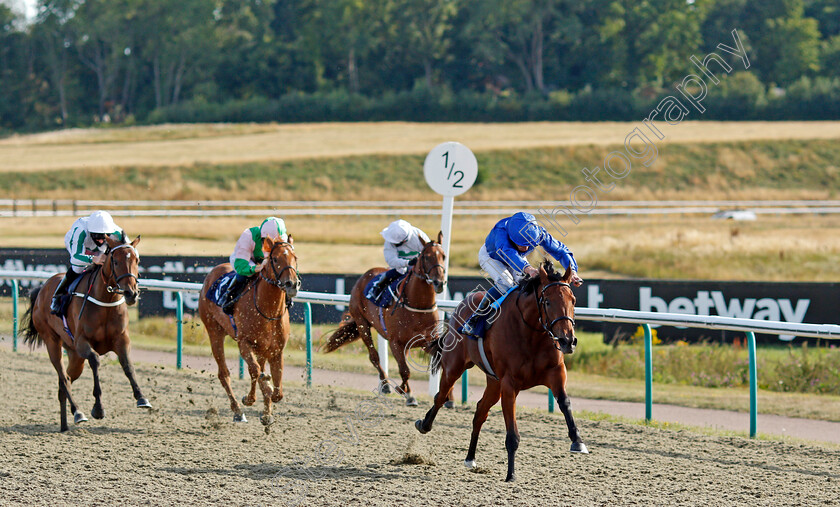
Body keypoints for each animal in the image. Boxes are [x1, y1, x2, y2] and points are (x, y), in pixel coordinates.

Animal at [324, 232, 450, 406]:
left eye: (443, 256)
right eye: (426, 257)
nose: (439, 283)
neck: (418, 305)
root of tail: (365, 275)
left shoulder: (428, 341)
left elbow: (443, 365)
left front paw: (448, 398)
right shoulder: (395, 342)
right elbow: (405, 370)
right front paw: (407, 393)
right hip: (362, 324)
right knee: (374, 357)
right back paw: (385, 385)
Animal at [416, 264, 588, 482]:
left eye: (573, 300)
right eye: (548, 302)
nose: (567, 341)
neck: (531, 333)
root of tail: (462, 304)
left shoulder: (556, 373)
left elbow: (565, 403)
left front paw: (577, 441)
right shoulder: (509, 384)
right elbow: (512, 434)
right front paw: (511, 474)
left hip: (493, 382)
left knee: (480, 411)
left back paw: (470, 458)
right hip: (453, 367)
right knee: (441, 396)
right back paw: (424, 424)